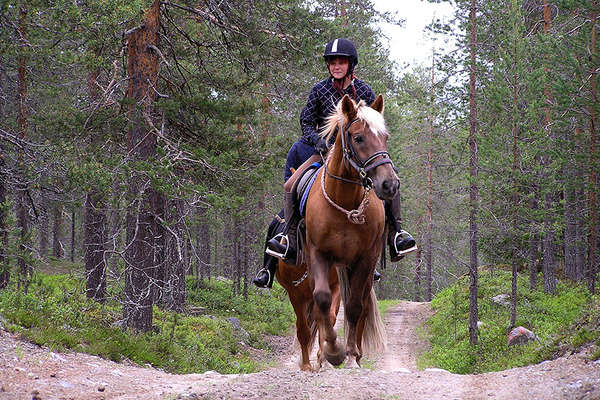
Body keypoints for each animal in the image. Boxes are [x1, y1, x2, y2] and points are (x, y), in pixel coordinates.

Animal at [302, 94, 392, 368]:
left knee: (359, 305)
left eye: (385, 137)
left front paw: (350, 354)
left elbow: (353, 307)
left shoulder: (366, 258)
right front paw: (332, 351)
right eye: (359, 137)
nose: (390, 184)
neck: (345, 202)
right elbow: (322, 300)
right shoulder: (318, 254)